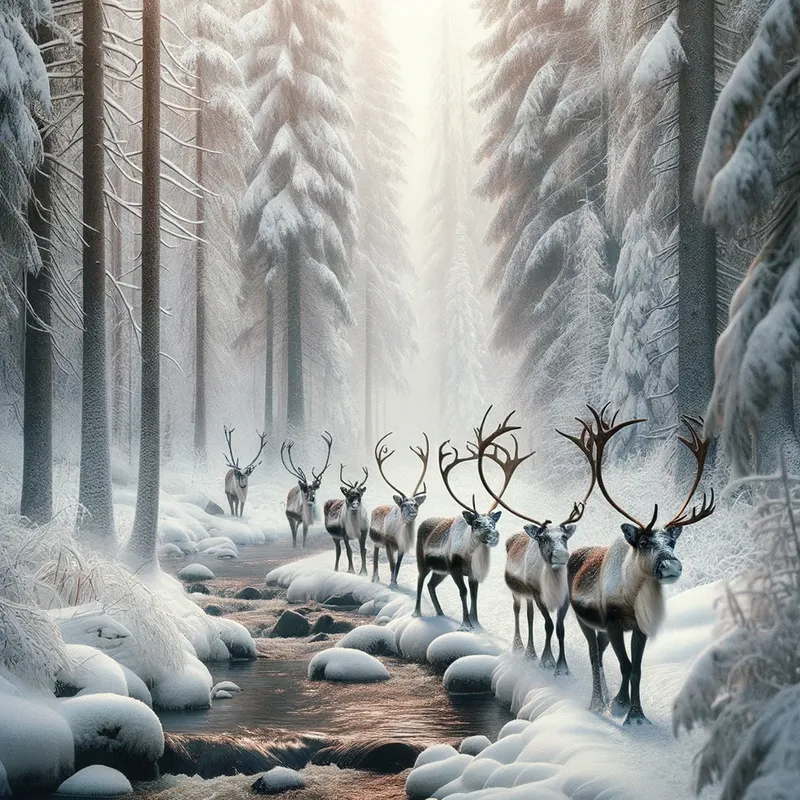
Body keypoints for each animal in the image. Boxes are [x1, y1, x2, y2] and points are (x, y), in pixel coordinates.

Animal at [368, 432, 430, 588]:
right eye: (403, 505)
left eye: (416, 504)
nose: (413, 512)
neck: (400, 535)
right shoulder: (388, 543)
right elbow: (392, 563)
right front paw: (392, 584)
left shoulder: (403, 546)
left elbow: (398, 565)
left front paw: (395, 581)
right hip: (375, 540)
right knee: (375, 553)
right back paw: (375, 578)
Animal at [414, 408, 528, 631]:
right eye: (476, 523)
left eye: (493, 522)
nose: (493, 535)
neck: (471, 554)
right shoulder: (455, 568)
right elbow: (464, 592)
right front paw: (465, 624)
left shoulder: (473, 573)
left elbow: (475, 595)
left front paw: (477, 623)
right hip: (423, 561)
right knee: (421, 582)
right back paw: (417, 613)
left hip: (440, 571)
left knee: (431, 584)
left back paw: (440, 613)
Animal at [475, 412, 595, 675]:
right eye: (542, 538)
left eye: (564, 536)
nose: (561, 555)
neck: (553, 586)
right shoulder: (538, 594)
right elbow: (547, 625)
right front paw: (546, 661)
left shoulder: (565, 600)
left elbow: (559, 628)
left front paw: (563, 667)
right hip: (519, 593)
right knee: (521, 614)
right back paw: (523, 649)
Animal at [567, 406, 715, 726]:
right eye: (645, 542)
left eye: (671, 542)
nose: (672, 566)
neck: (632, 596)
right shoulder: (612, 621)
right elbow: (624, 665)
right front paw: (620, 705)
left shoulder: (639, 627)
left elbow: (636, 668)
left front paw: (637, 715)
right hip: (585, 621)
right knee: (593, 654)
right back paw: (597, 702)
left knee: (600, 652)